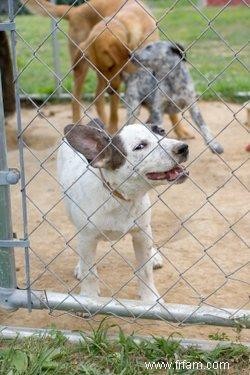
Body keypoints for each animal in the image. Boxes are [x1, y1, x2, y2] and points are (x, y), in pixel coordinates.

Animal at [57, 120, 189, 302]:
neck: (119, 197)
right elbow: (89, 273)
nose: (183, 147)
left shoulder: (141, 233)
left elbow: (145, 270)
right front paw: (89, 297)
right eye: (140, 146)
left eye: (161, 131)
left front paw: (150, 299)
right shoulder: (87, 237)